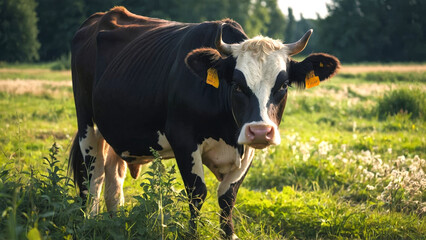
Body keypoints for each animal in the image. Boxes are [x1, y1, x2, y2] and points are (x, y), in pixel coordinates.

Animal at [70, 6, 342, 239]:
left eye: (283, 85)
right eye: (237, 85)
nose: (260, 131)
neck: (228, 131)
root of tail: (103, 16)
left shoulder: (247, 150)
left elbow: (228, 196)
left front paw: (229, 234)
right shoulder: (183, 139)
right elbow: (197, 193)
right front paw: (193, 234)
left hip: (116, 134)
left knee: (113, 181)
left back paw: (115, 223)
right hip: (87, 125)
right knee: (92, 175)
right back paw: (89, 223)